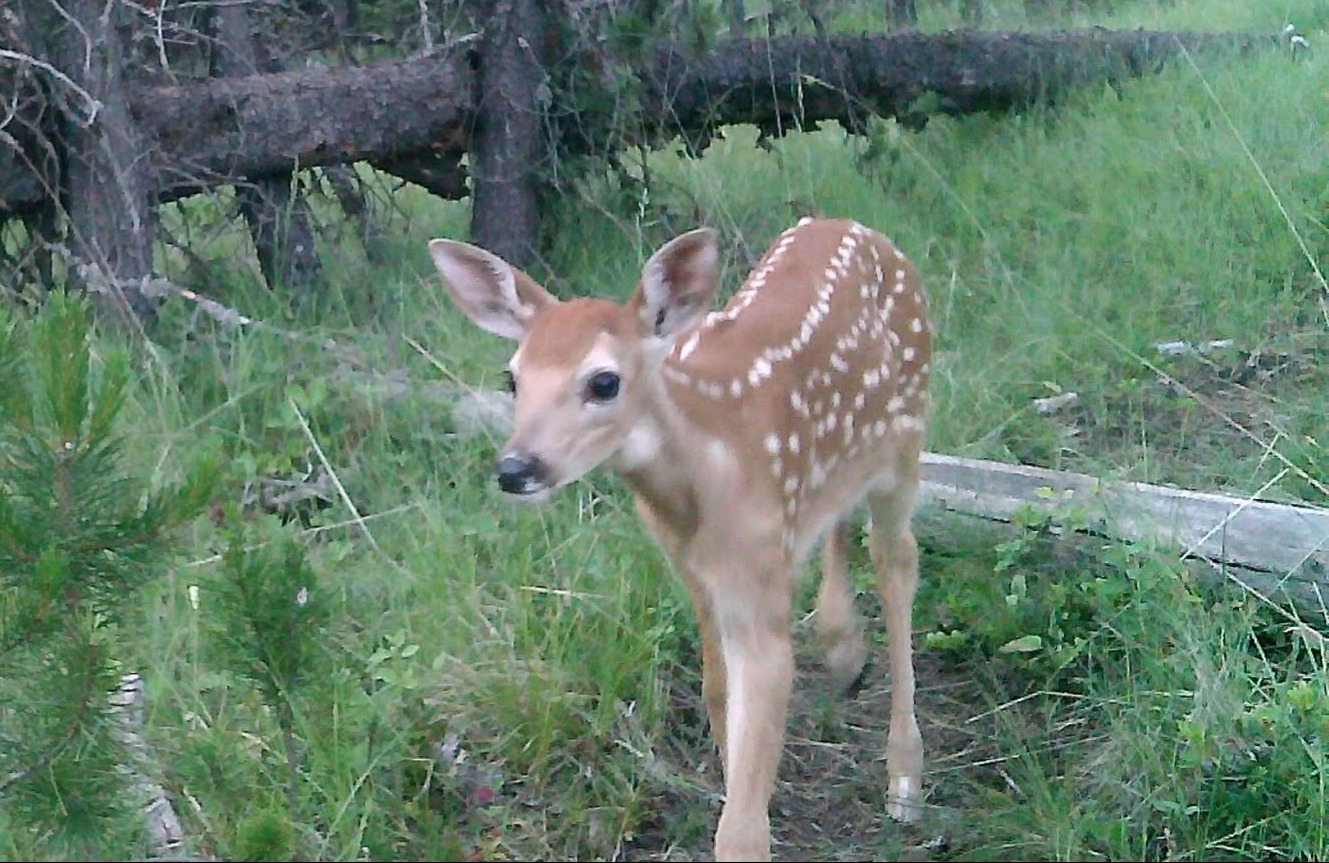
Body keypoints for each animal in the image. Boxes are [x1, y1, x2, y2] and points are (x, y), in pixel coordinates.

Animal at [428, 216, 931, 862]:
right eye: (511, 378)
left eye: (604, 381)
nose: (516, 468)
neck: (708, 469)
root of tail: (858, 228)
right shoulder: (694, 567)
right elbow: (718, 697)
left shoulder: (754, 585)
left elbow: (741, 822)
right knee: (839, 515)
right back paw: (842, 648)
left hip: (908, 435)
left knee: (897, 562)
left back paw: (905, 779)